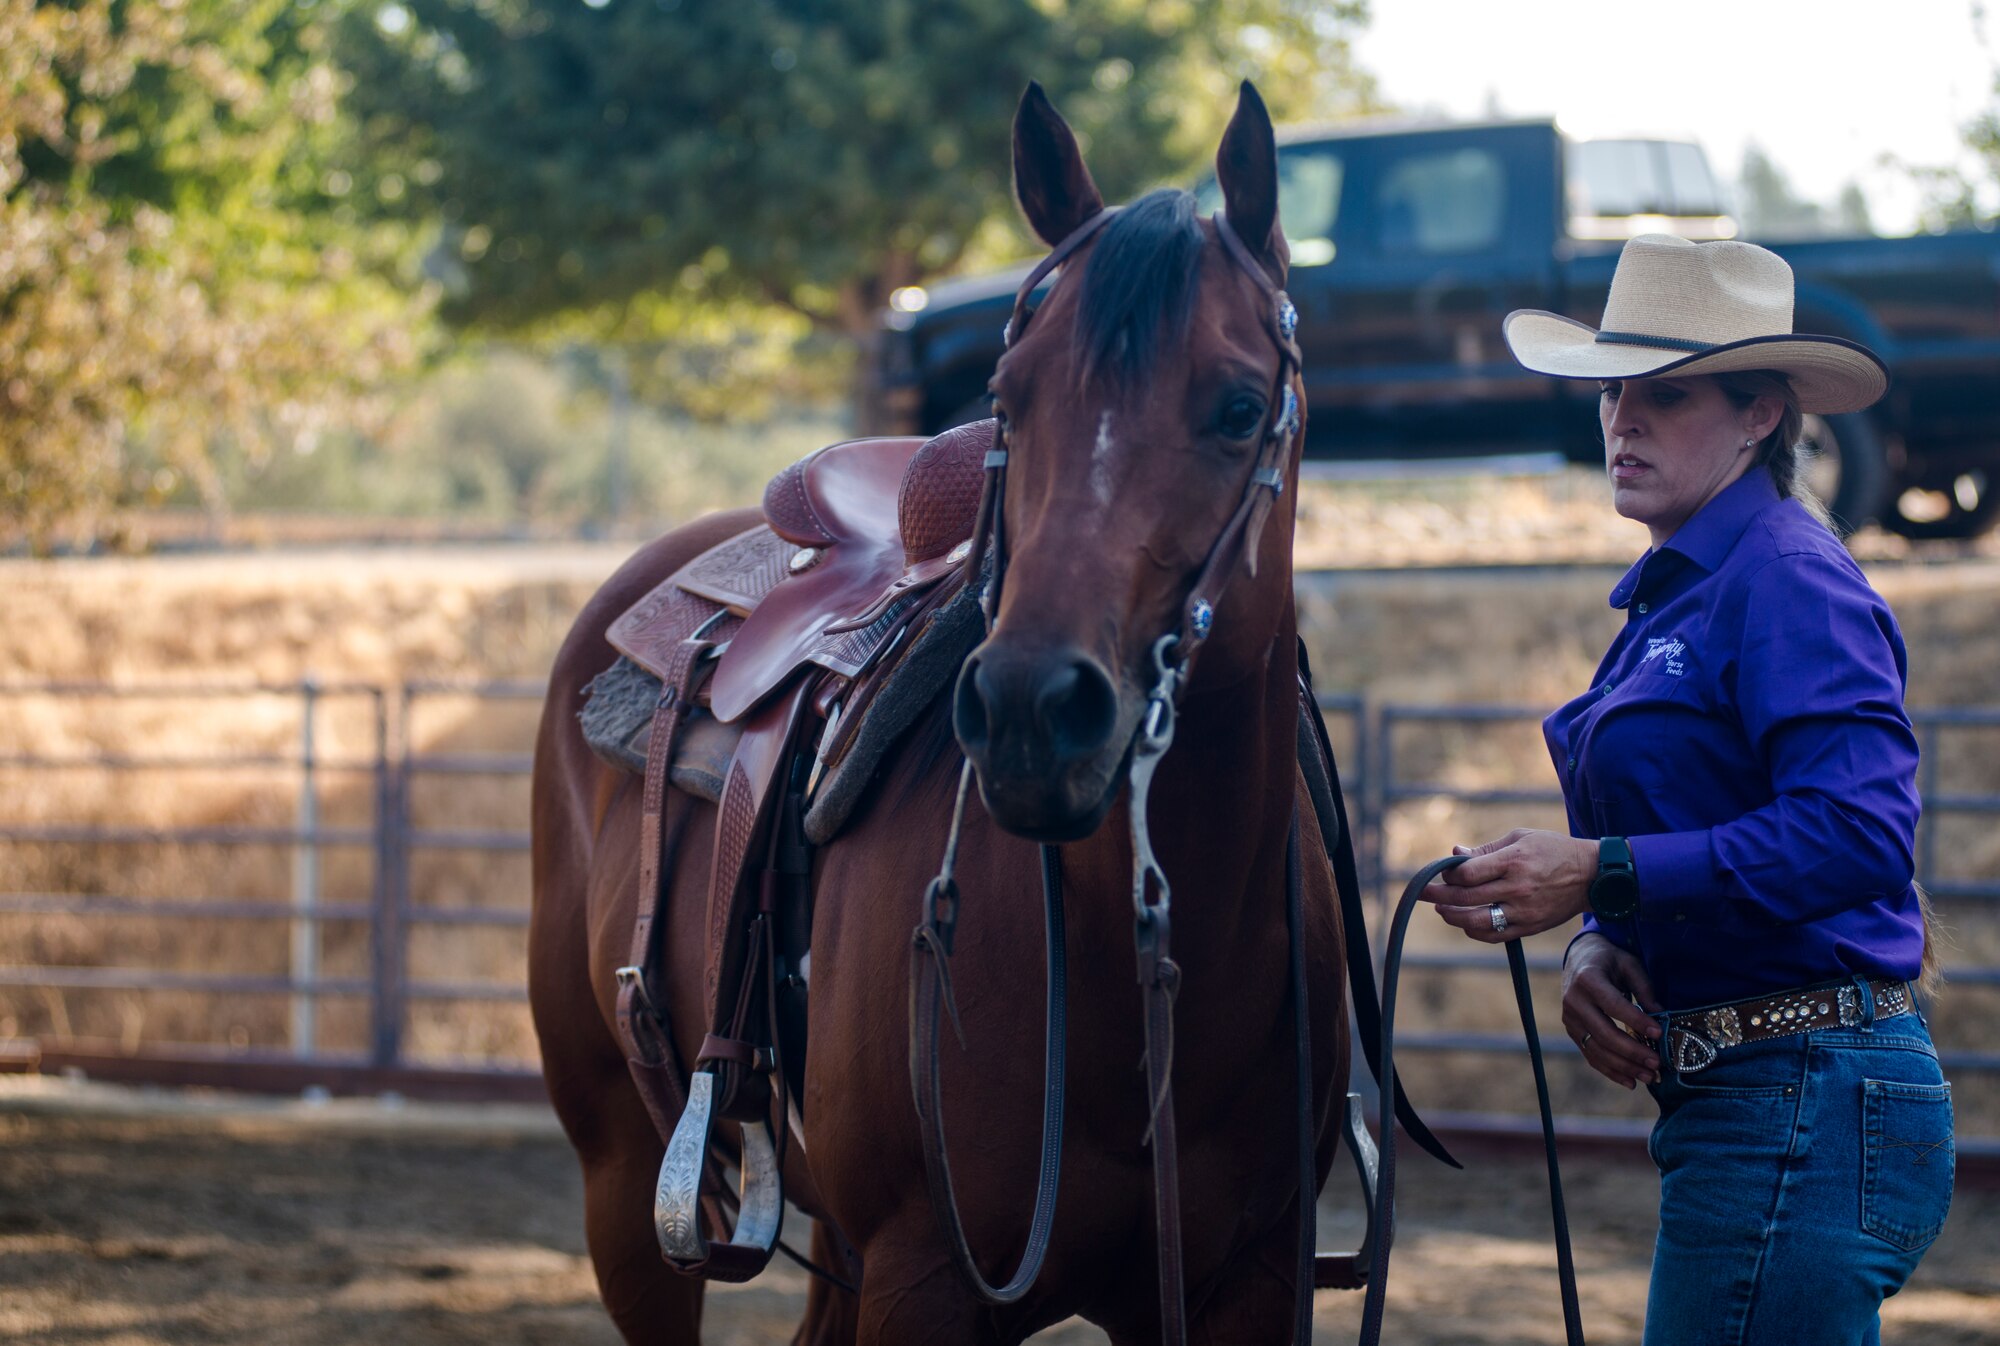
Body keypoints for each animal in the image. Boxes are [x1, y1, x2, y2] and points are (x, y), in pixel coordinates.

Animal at [528, 79, 1376, 1336]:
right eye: (1004, 396)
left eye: (1236, 406)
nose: (1032, 708)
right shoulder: (923, 1275)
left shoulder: (1249, 1282)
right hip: (625, 1179)